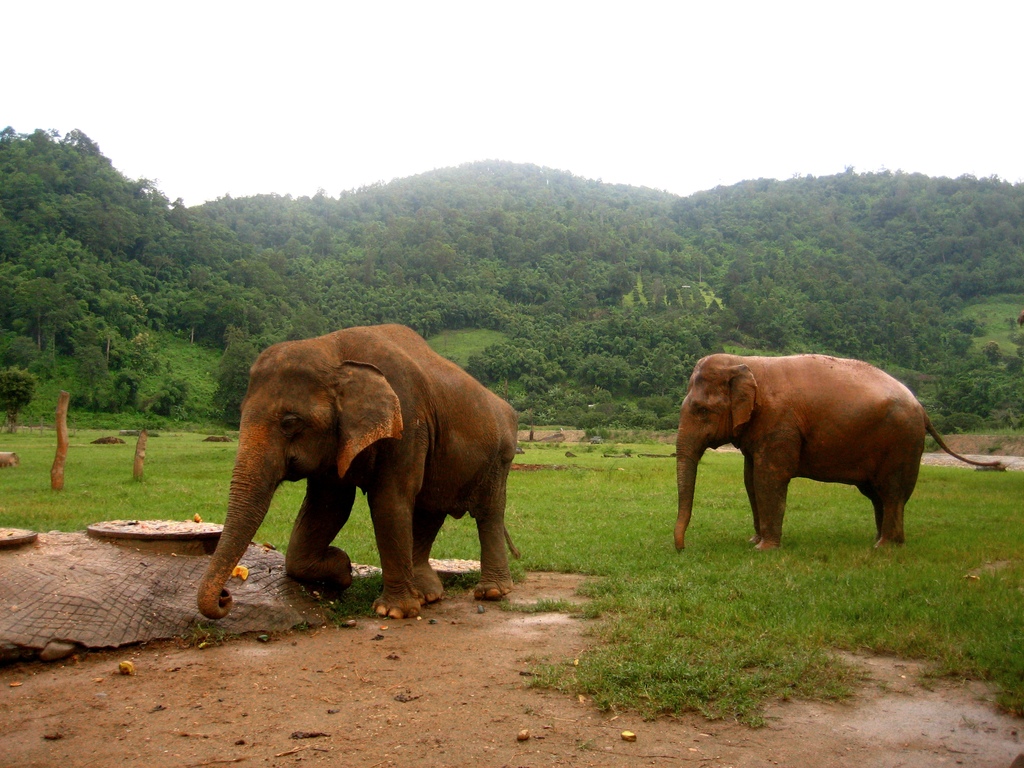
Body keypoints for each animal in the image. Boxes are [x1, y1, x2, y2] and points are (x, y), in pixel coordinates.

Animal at [197, 324, 520, 621]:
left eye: (290, 422)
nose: (225, 597)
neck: (333, 350)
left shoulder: (407, 419)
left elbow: (389, 500)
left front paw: (393, 611)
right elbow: (327, 507)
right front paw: (342, 569)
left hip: (501, 458)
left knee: (487, 513)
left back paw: (491, 592)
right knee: (430, 509)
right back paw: (428, 595)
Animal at [674, 353, 1003, 551]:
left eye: (702, 410)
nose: (681, 547)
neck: (746, 362)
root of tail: (922, 408)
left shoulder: (780, 424)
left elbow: (769, 478)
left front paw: (763, 549)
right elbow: (750, 479)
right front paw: (753, 540)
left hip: (902, 441)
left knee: (891, 490)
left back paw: (884, 546)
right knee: (878, 494)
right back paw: (885, 541)